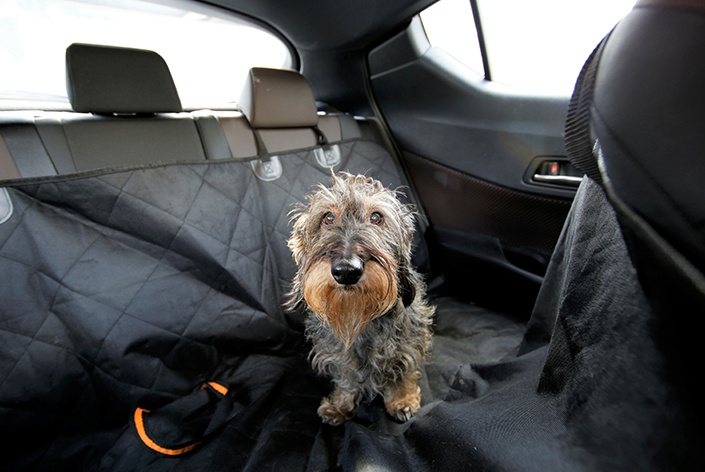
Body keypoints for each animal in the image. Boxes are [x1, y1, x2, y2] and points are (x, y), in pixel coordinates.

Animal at [288, 171, 434, 426]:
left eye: (376, 217)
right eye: (328, 218)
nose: (347, 271)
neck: (358, 313)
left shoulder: (409, 339)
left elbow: (402, 369)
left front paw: (401, 399)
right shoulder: (338, 351)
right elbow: (347, 376)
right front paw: (340, 405)